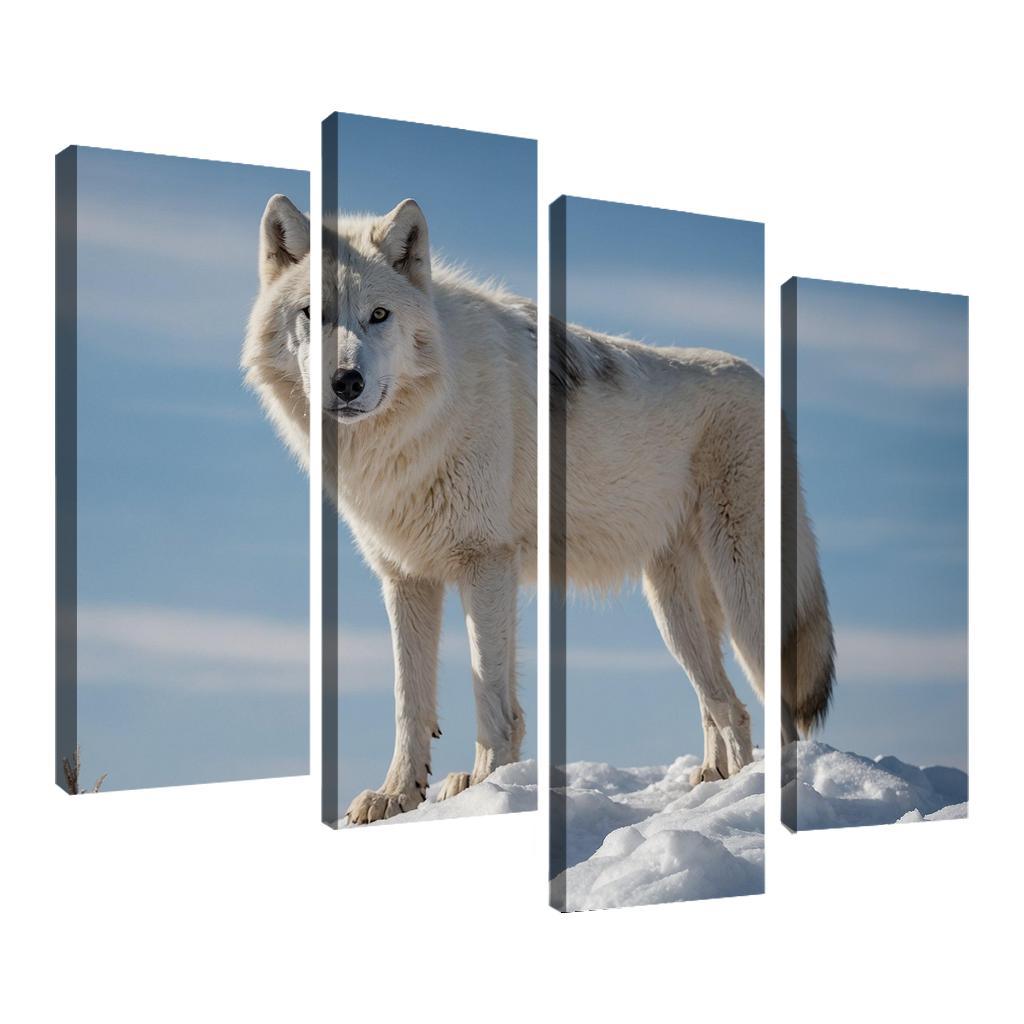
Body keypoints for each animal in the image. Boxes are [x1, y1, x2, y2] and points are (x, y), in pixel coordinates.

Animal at [243, 194, 833, 823]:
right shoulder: (408, 577)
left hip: (744, 593)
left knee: (776, 711)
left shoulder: (485, 563)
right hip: (672, 610)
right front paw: (399, 795)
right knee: (727, 707)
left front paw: (486, 788)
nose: (346, 381)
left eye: (379, 315)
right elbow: (412, 702)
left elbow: (489, 694)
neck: (417, 425)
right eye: (313, 313)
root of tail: (766, 385)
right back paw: (716, 785)